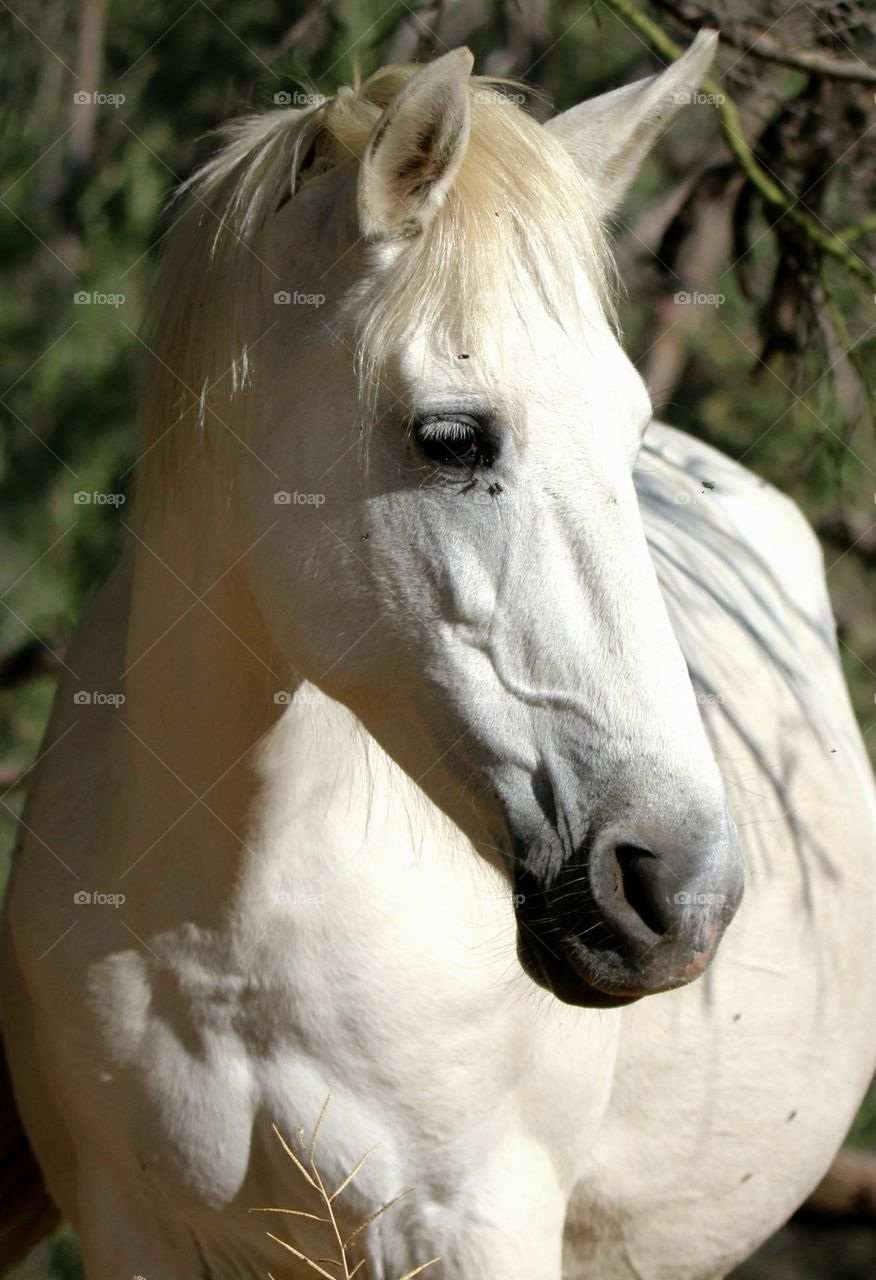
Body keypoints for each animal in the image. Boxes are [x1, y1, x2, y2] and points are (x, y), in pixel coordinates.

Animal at [3, 33, 876, 1280]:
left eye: (628, 429)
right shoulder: (138, 1231)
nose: (682, 887)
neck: (232, 935)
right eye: (453, 438)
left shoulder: (475, 1222)